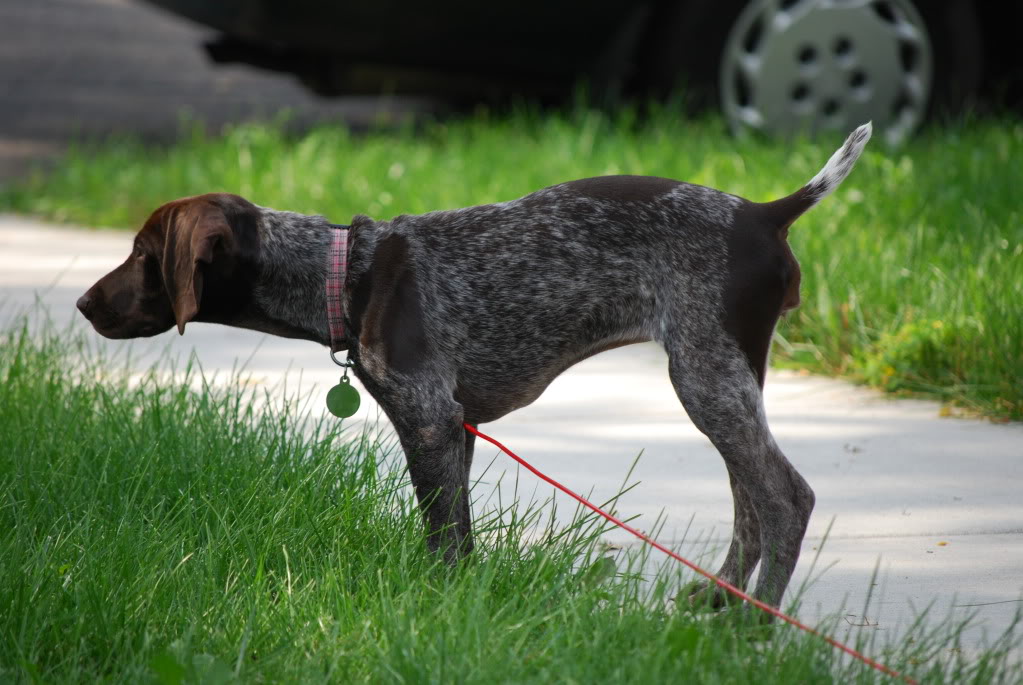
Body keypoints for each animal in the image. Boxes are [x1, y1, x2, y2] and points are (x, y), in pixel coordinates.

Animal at [75, 124, 871, 613]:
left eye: (143, 256)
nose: (84, 303)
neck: (344, 274)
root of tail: (766, 212)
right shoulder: (454, 428)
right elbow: (456, 536)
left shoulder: (428, 420)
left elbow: (440, 535)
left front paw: (434, 607)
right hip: (725, 375)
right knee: (748, 501)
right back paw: (718, 603)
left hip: (705, 376)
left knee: (785, 498)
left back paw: (755, 625)